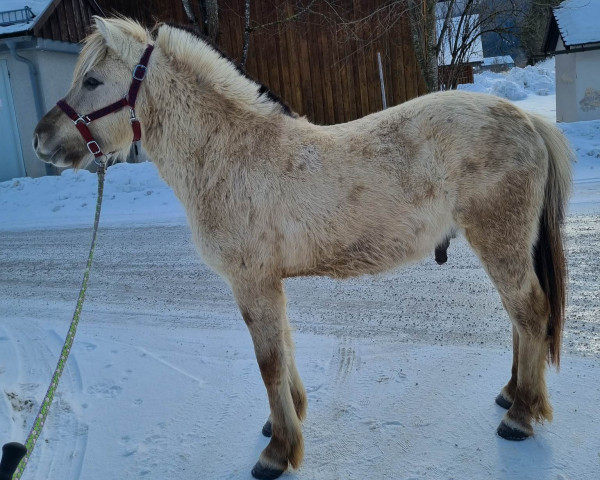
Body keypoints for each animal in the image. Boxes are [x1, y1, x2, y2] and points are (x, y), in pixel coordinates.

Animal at [31, 15, 572, 480]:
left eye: (93, 81)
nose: (41, 139)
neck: (230, 156)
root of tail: (526, 121)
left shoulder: (251, 281)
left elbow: (268, 361)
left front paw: (277, 452)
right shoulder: (267, 282)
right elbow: (284, 349)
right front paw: (285, 419)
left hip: (500, 241)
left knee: (530, 312)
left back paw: (520, 417)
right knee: (521, 318)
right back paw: (512, 394)